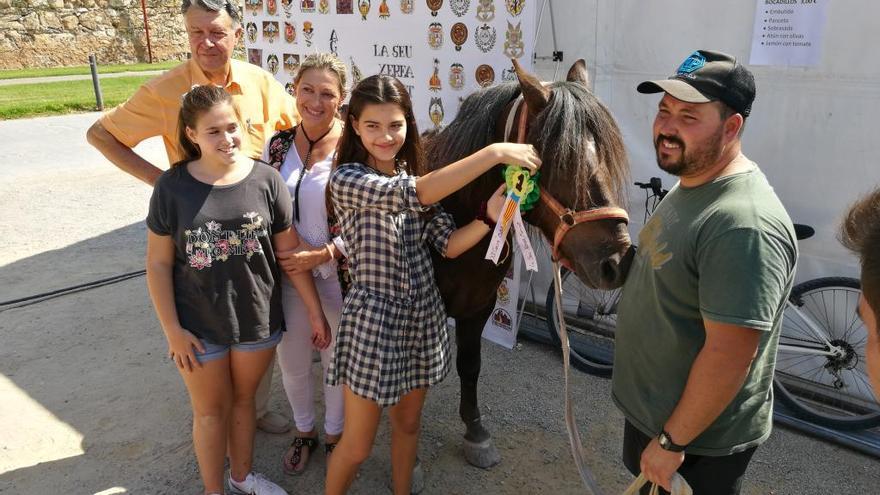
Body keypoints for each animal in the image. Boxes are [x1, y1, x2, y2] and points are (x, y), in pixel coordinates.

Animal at [426, 59, 632, 468]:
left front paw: (475, 432)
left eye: (604, 154)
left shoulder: (479, 305)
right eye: (562, 159)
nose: (618, 260)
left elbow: (470, 364)